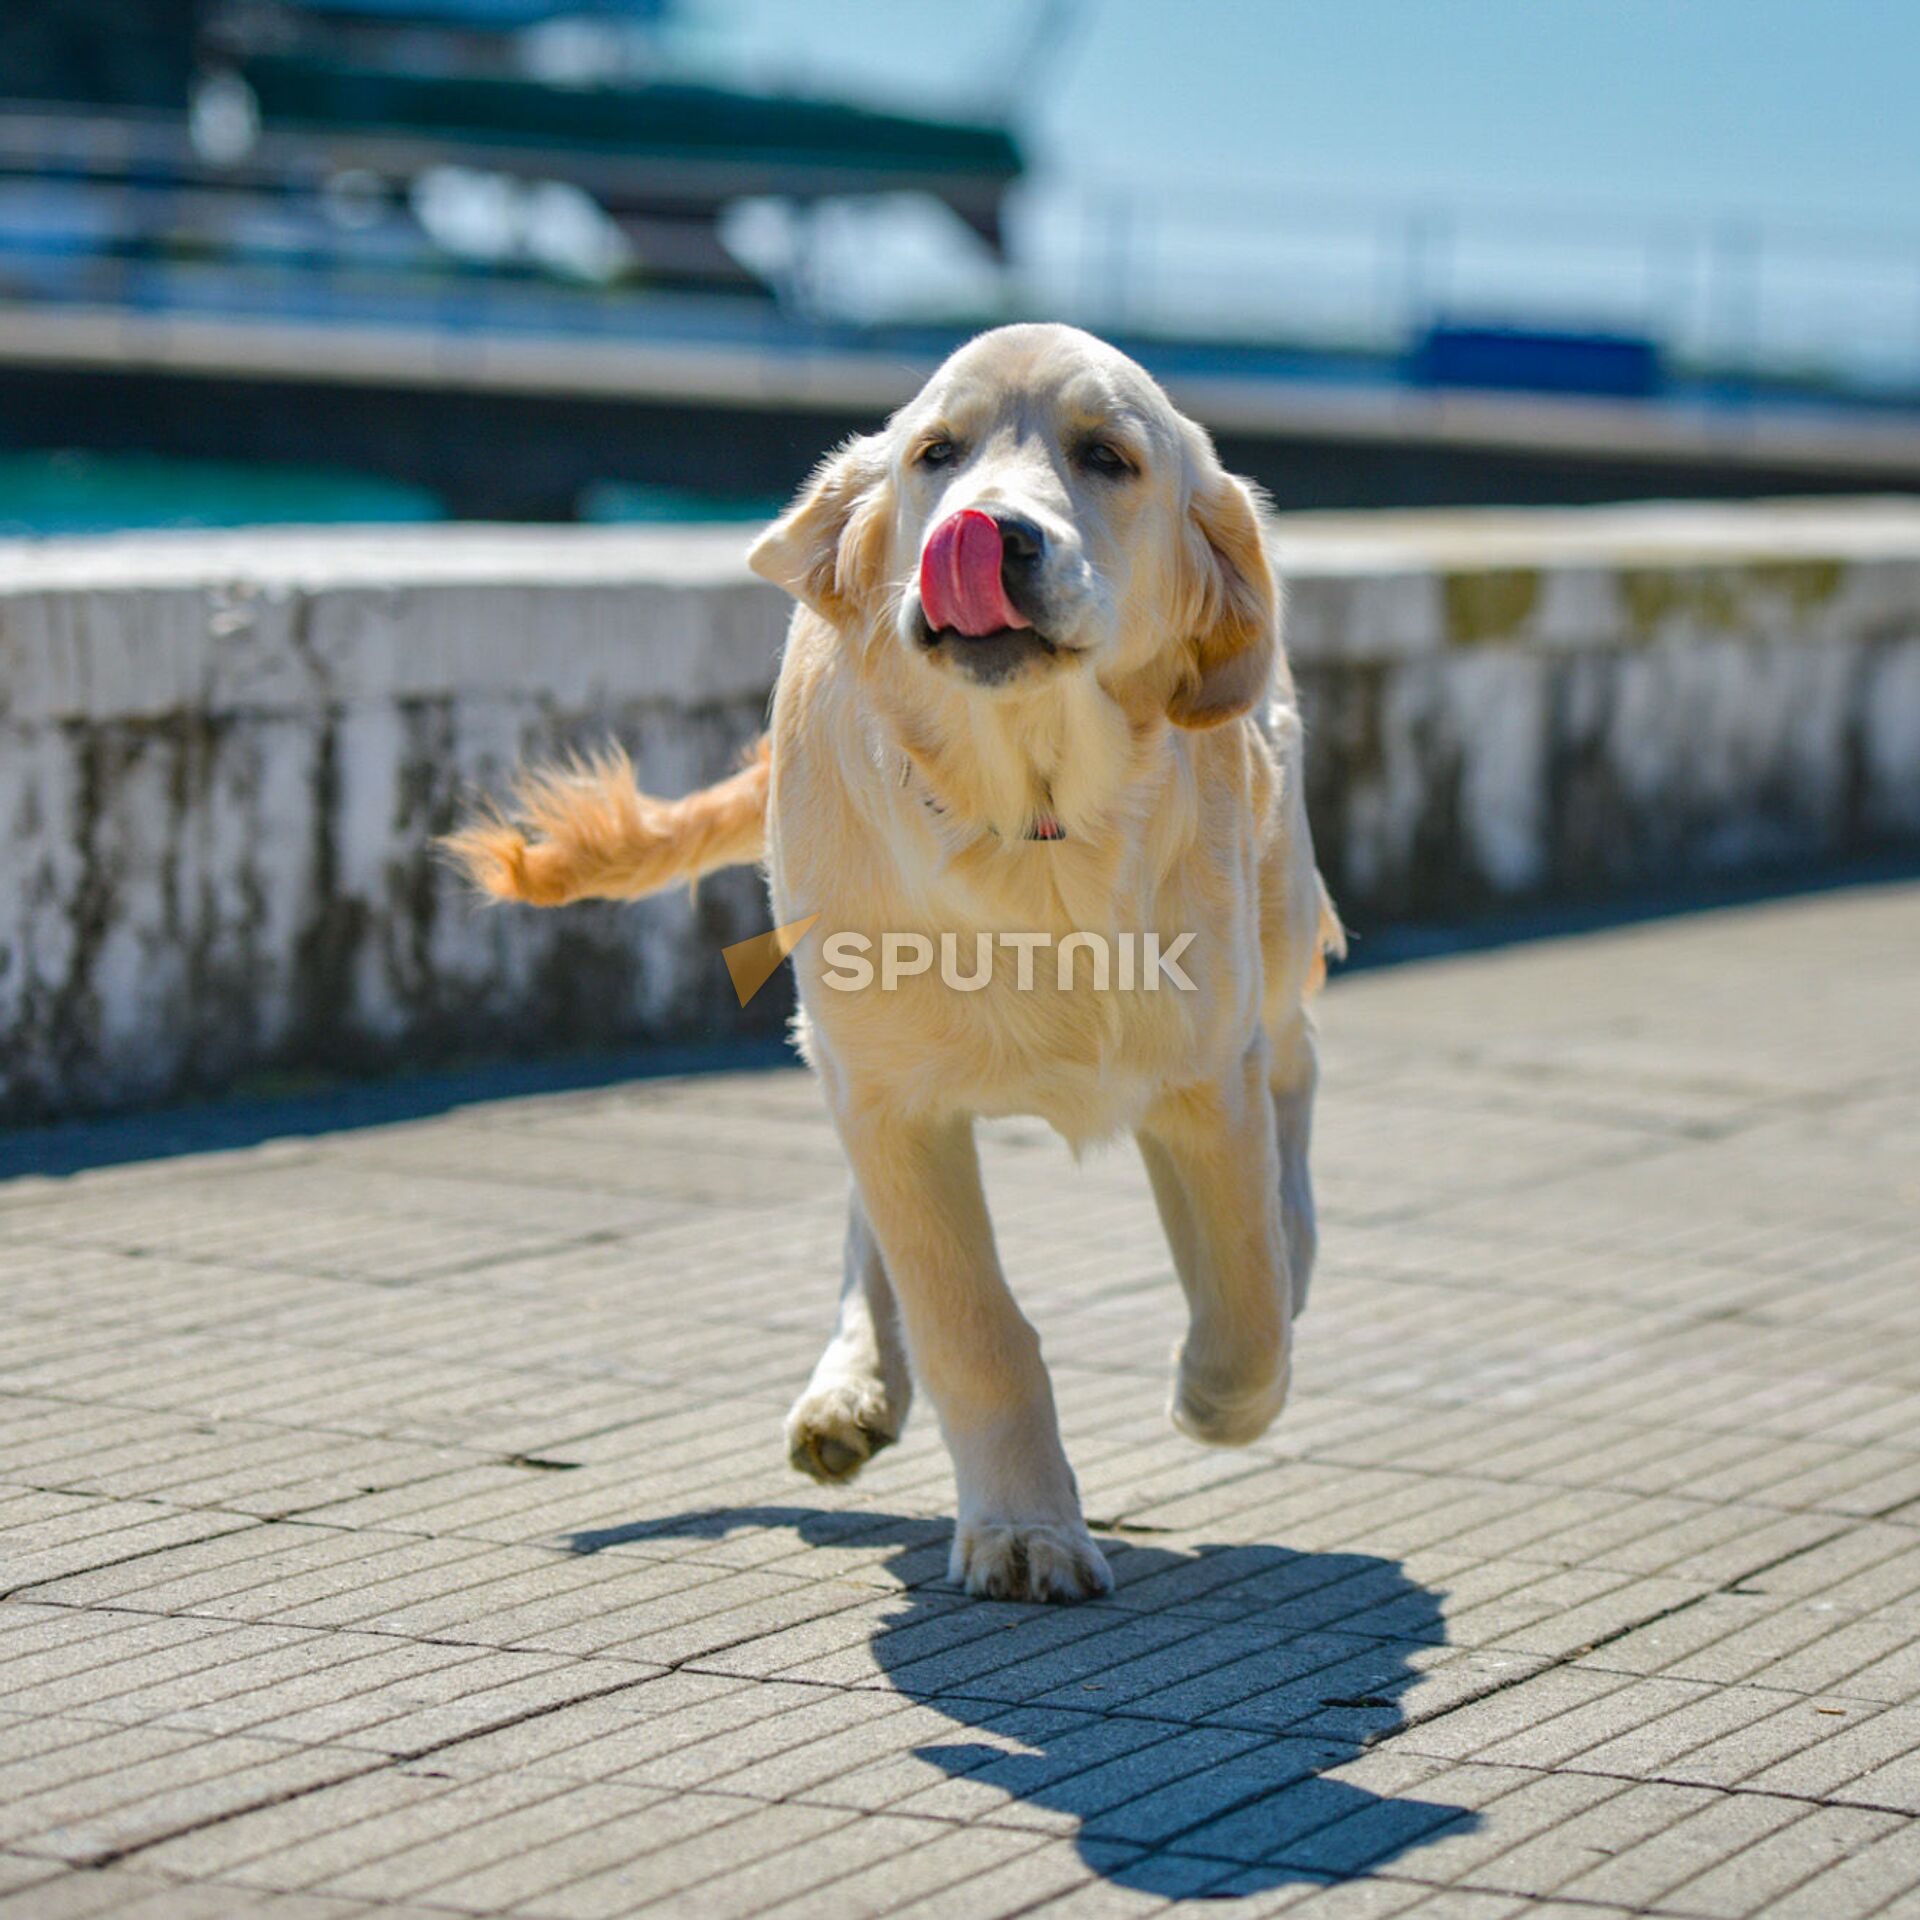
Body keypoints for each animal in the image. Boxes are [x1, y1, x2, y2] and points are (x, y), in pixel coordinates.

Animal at [451, 326, 1351, 1605]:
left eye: (1108, 457)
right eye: (937, 454)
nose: (989, 534)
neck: (1029, 821)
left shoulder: (1199, 1073)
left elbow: (1243, 1293)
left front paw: (1217, 1391)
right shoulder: (886, 1090)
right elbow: (969, 1321)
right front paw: (1024, 1527)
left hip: (1273, 933)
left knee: (1295, 1077)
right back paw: (853, 1388)